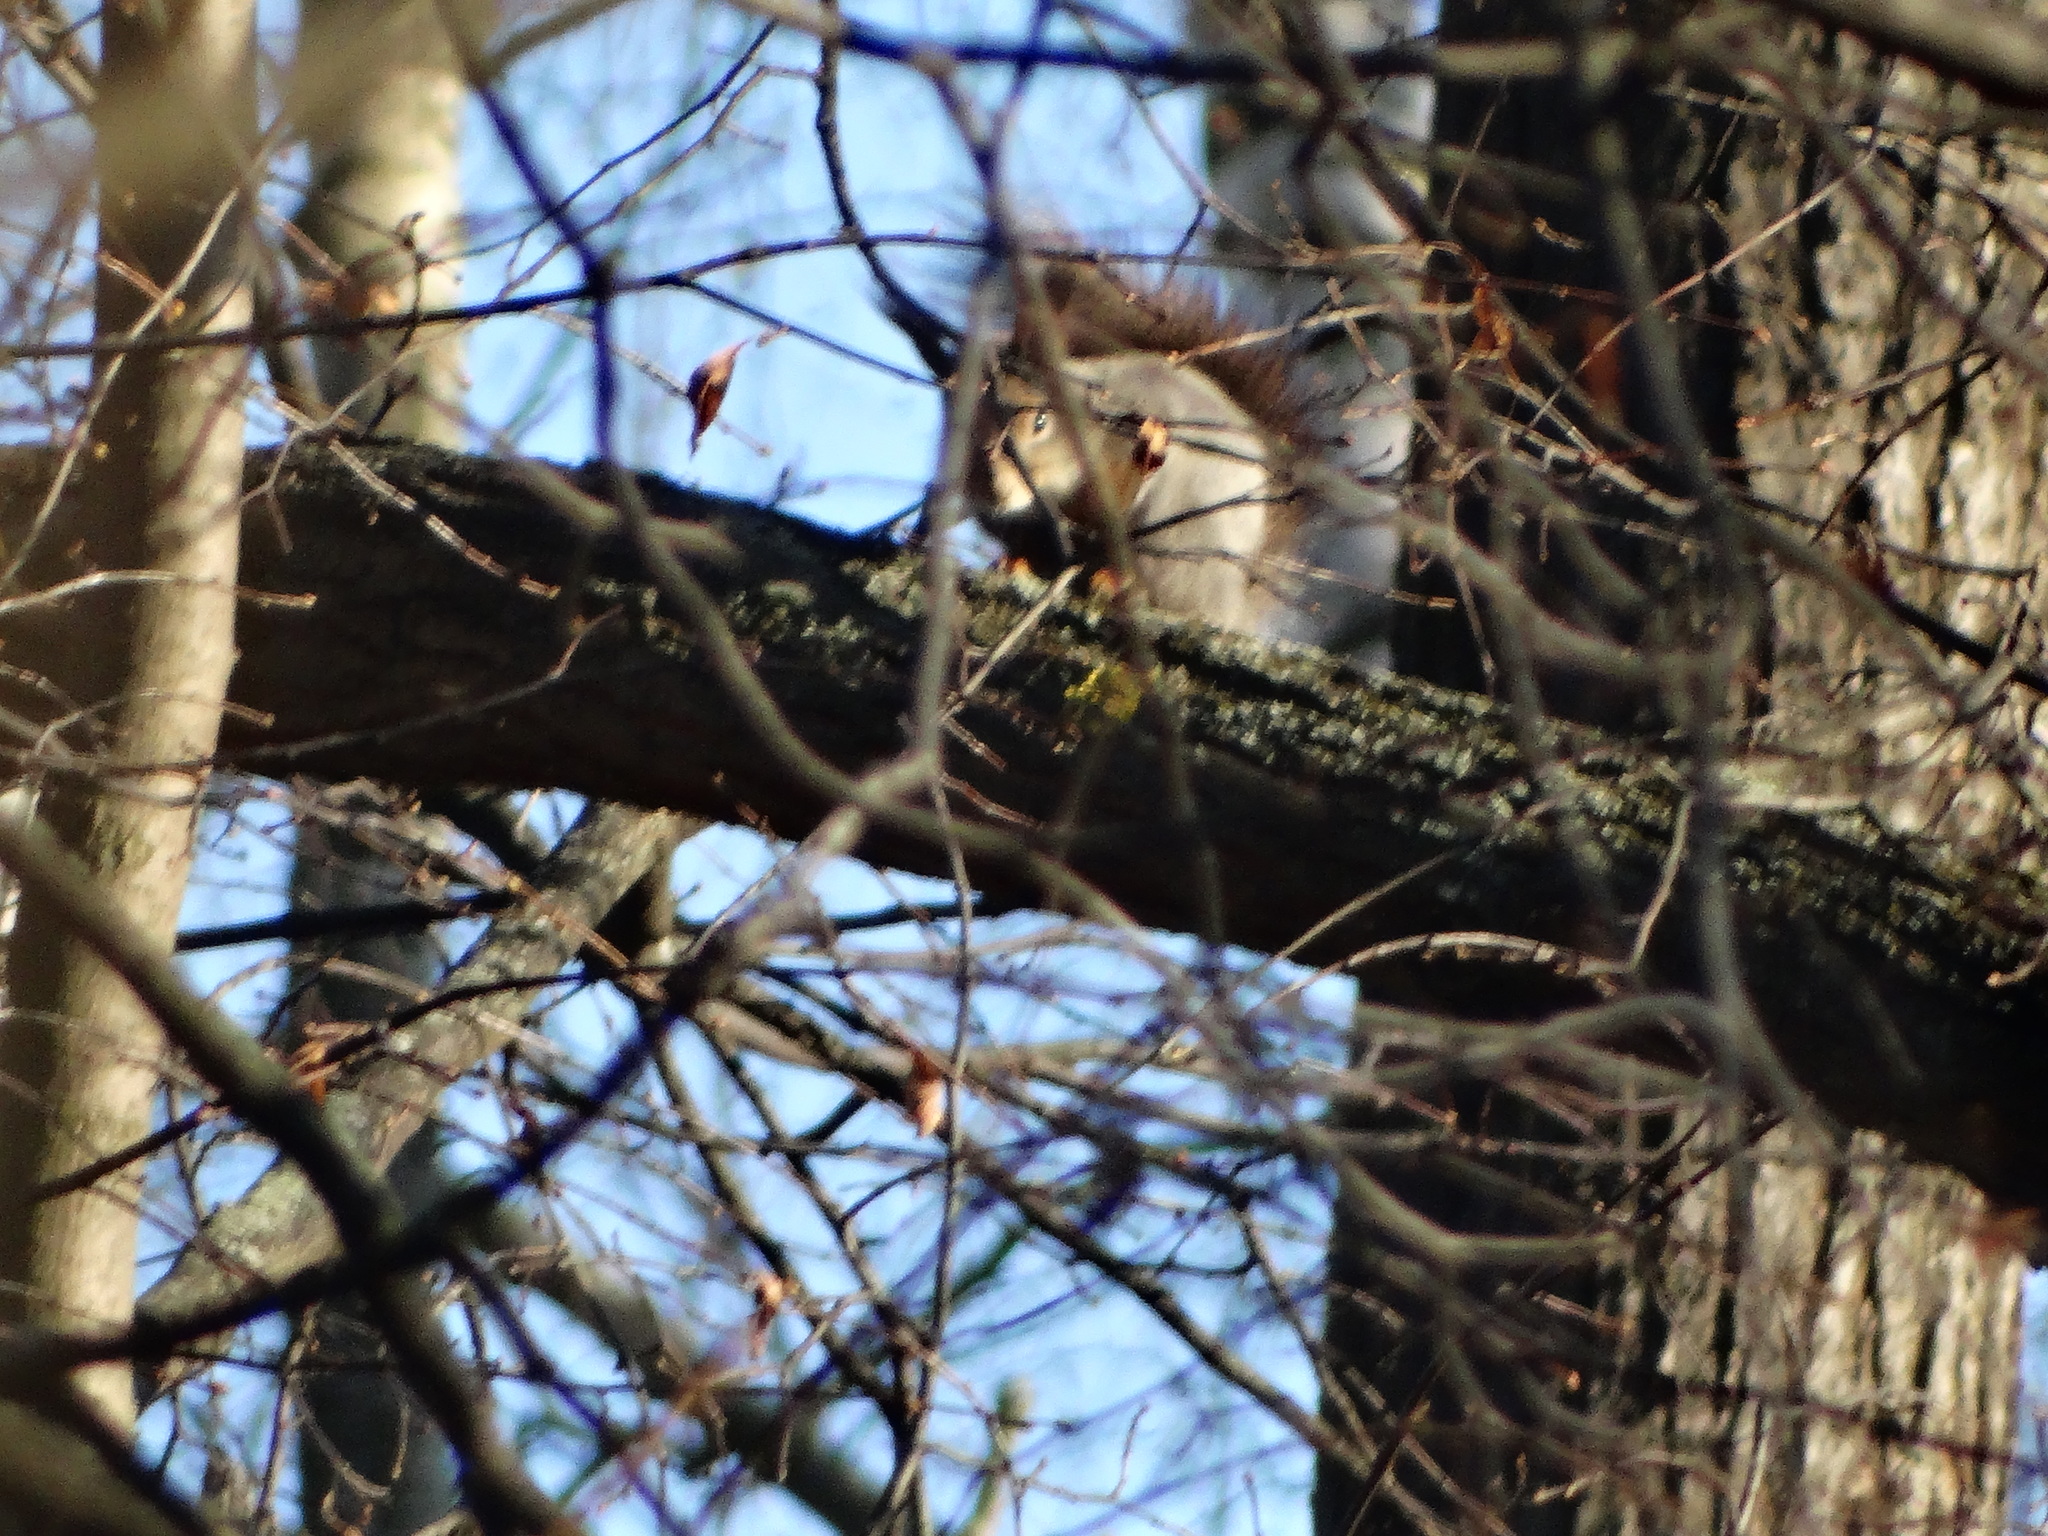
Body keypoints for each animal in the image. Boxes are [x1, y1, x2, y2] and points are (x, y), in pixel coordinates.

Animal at [937, 257, 1392, 667]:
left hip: (1180, 544)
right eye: (954, 424)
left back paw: (1118, 583)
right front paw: (1011, 561)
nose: (993, 490)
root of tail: (1231, 605)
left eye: (1041, 422)